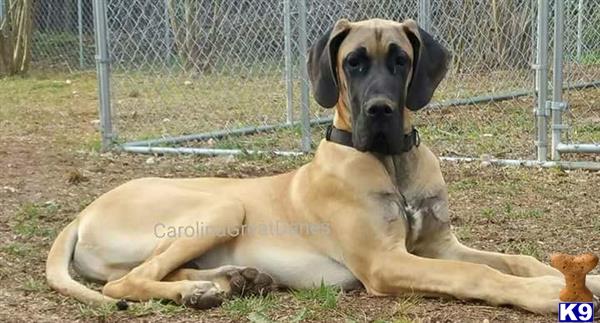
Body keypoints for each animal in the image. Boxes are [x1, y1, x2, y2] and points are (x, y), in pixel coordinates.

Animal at [45, 17, 600, 314]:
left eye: (400, 59)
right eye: (354, 62)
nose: (380, 110)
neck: (390, 160)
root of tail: (82, 212)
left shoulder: (439, 245)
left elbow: (516, 259)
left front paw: (581, 280)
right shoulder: (386, 262)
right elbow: (482, 275)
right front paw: (547, 295)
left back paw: (229, 281)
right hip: (222, 205)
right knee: (123, 283)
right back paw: (200, 290)